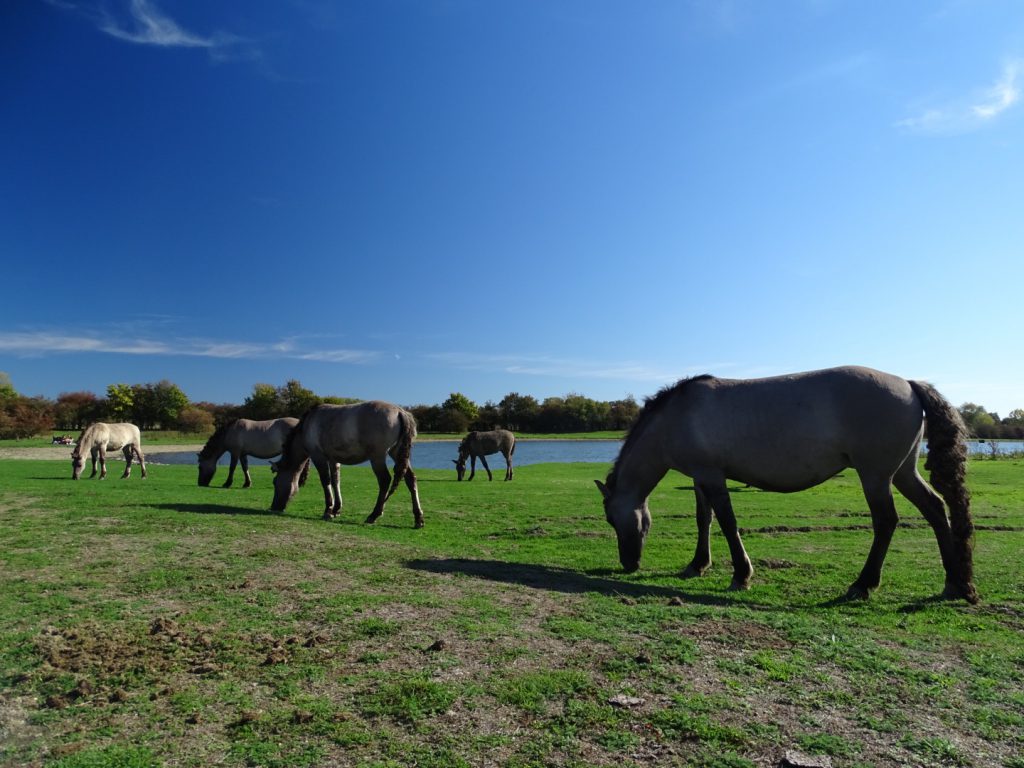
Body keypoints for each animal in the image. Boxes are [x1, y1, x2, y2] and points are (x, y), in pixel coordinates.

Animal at [268, 403, 423, 528]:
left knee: (384, 480)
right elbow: (336, 481)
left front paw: (328, 510)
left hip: (377, 457)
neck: (307, 425)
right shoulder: (333, 460)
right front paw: (336, 509)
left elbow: (326, 481)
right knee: (411, 479)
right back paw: (418, 518)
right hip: (396, 452)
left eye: (275, 482)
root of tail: (400, 412)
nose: (273, 507)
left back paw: (374, 515)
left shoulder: (319, 457)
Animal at [598, 368, 978, 606]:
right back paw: (954, 583)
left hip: (875, 476)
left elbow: (728, 523)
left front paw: (741, 574)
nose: (628, 564)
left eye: (612, 519)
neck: (677, 417)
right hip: (903, 473)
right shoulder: (700, 477)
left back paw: (863, 584)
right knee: (935, 509)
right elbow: (704, 520)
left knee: (886, 522)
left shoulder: (712, 476)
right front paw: (697, 565)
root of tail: (909, 384)